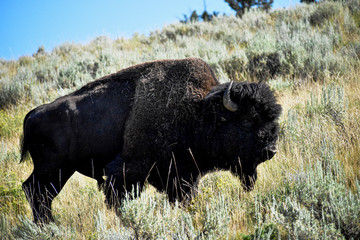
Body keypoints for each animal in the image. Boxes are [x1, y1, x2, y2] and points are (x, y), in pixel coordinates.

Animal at [21, 58, 282, 223]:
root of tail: (33, 113)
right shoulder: (128, 172)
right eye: (248, 120)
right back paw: (47, 226)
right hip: (53, 169)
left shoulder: (182, 176)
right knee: (37, 193)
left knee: (36, 192)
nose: (270, 150)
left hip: (58, 170)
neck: (199, 113)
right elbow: (118, 198)